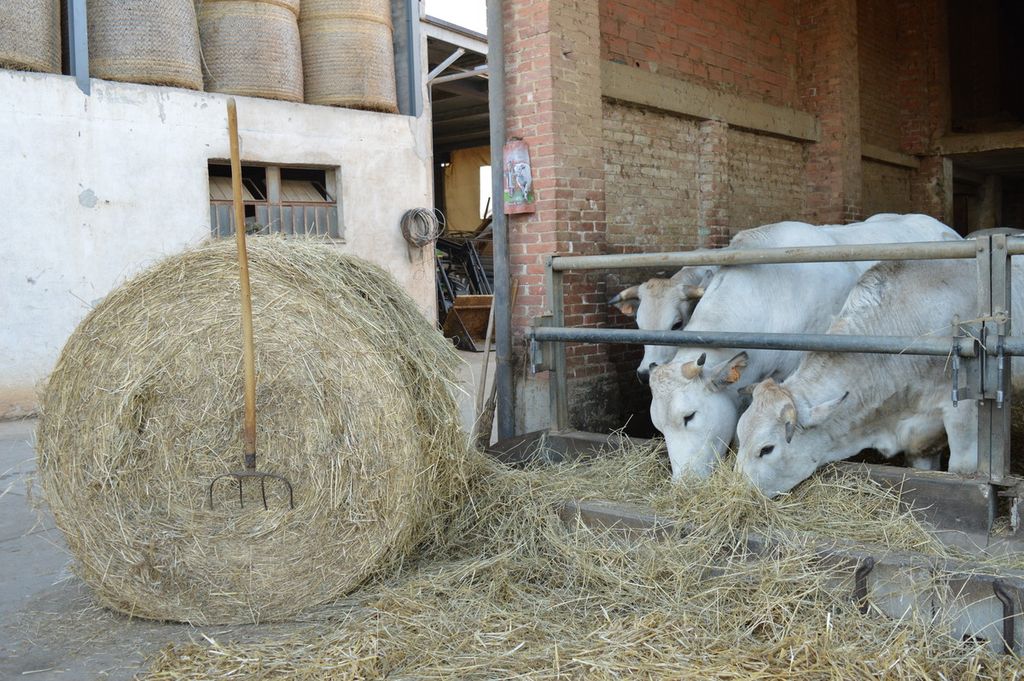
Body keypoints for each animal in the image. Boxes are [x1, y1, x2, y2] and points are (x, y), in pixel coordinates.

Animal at [735, 257, 1024, 498]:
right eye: (739, 436)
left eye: (766, 449)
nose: (736, 491)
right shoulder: (919, 439)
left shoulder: (962, 414)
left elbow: (961, 468)